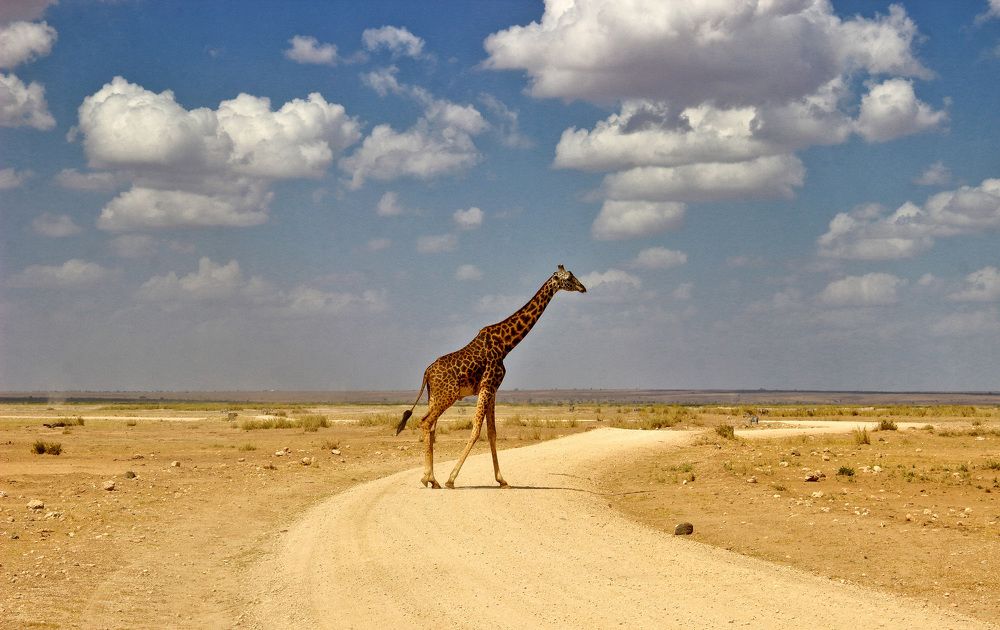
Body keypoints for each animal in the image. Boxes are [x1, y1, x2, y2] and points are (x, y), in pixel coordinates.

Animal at [396, 265, 587, 489]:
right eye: (569, 278)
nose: (583, 287)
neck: (506, 344)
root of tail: (426, 372)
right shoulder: (488, 385)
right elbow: (477, 429)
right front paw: (452, 478)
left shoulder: (493, 389)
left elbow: (492, 432)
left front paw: (502, 479)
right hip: (448, 395)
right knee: (426, 422)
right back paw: (430, 478)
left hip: (433, 396)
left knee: (432, 427)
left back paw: (432, 479)